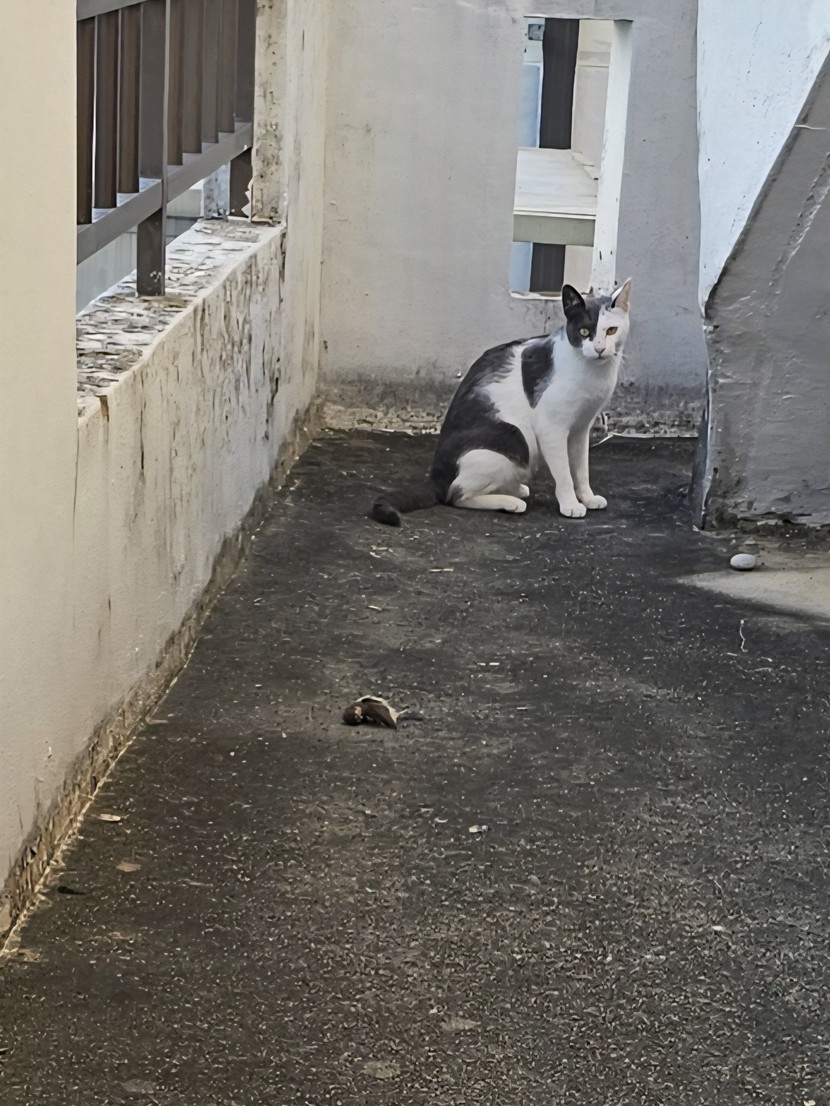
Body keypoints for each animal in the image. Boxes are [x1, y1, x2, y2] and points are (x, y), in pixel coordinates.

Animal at [370, 280, 631, 526]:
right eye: (585, 331)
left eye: (611, 330)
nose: (599, 349)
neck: (594, 373)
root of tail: (436, 476)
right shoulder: (552, 428)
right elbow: (565, 472)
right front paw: (570, 504)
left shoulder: (580, 428)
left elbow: (581, 469)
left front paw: (587, 497)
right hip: (513, 437)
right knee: (457, 494)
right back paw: (510, 502)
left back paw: (515, 489)